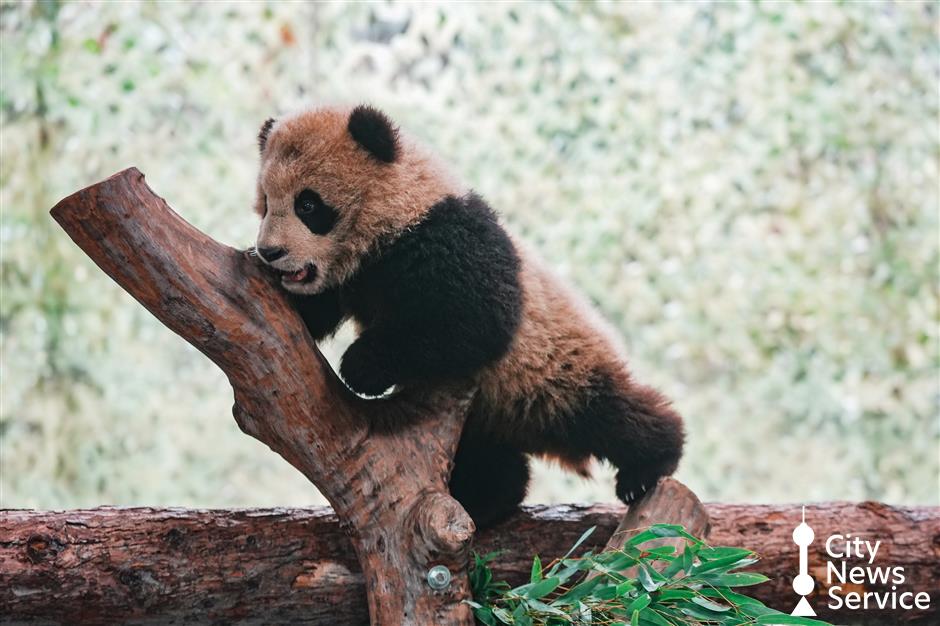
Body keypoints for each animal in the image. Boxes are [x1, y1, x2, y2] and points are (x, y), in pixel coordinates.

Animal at [252, 104, 685, 528]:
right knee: (490, 458)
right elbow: (315, 311)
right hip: (487, 412)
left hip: (558, 367)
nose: (270, 252)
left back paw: (649, 465)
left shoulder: (446, 236)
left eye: (307, 205)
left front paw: (362, 366)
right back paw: (484, 499)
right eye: (266, 203)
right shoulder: (349, 277)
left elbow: (478, 320)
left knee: (609, 413)